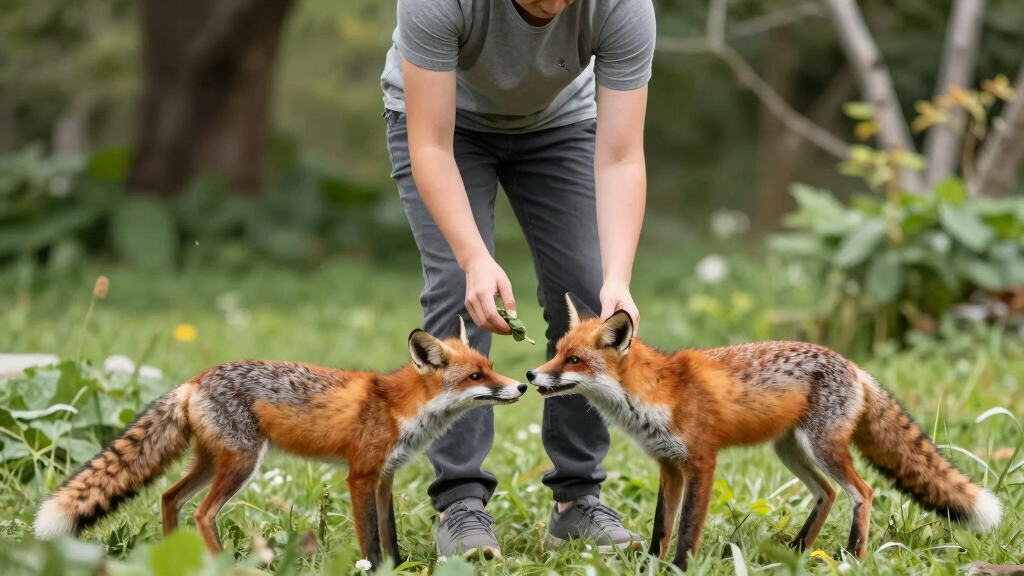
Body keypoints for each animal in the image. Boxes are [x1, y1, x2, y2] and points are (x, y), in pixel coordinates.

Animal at [34, 316, 525, 569]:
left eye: (490, 367)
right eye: (476, 376)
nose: (521, 386)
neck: (396, 407)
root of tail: (193, 380)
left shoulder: (385, 477)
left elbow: (390, 536)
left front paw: (398, 566)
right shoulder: (360, 476)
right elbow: (369, 540)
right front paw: (373, 569)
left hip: (214, 462)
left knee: (170, 498)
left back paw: (177, 558)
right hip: (241, 464)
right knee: (202, 513)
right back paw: (223, 565)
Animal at [526, 294, 1002, 571]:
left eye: (574, 360)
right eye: (558, 352)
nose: (531, 375)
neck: (656, 395)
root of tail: (855, 365)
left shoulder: (702, 463)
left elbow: (686, 531)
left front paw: (678, 568)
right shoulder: (669, 466)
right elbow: (662, 527)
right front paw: (651, 567)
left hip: (822, 448)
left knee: (862, 492)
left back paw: (852, 557)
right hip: (790, 452)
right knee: (828, 493)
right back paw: (796, 552)